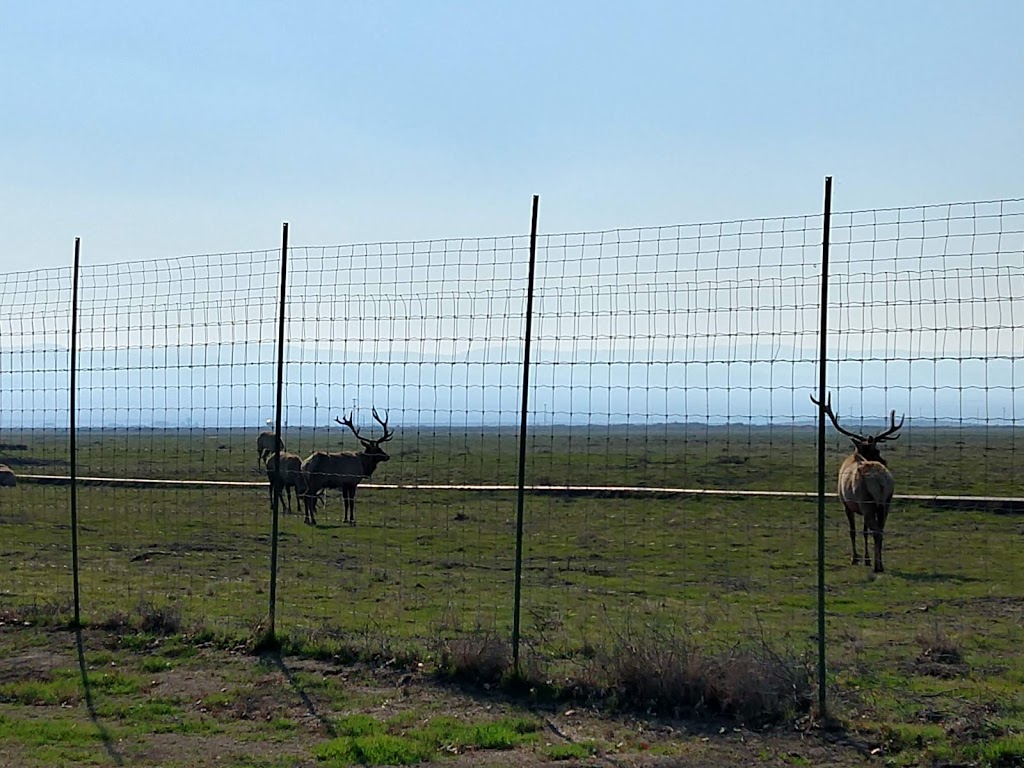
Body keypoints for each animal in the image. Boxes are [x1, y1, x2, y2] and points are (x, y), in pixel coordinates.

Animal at [806, 393, 905, 573]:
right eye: (877, 449)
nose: (884, 461)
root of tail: (880, 480)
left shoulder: (846, 503)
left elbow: (852, 530)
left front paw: (855, 558)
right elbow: (864, 531)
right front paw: (866, 559)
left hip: (866, 501)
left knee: (876, 531)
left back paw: (878, 566)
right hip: (886, 502)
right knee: (880, 529)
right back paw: (880, 563)